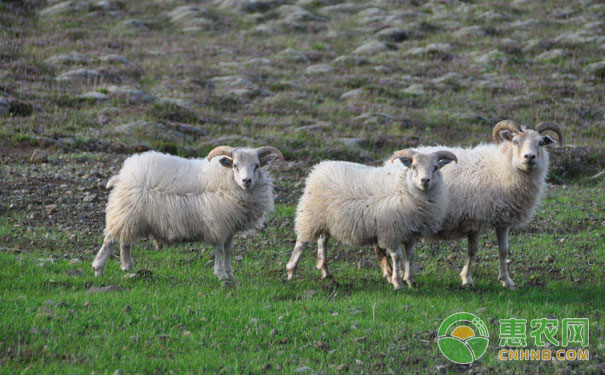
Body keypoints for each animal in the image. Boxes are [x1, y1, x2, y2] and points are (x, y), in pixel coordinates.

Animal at [91, 145, 284, 280]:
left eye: (257, 165)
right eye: (235, 166)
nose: (246, 180)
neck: (225, 180)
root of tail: (123, 175)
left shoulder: (230, 226)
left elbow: (229, 250)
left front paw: (230, 274)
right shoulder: (218, 223)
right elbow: (219, 249)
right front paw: (221, 274)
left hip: (132, 217)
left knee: (124, 241)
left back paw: (128, 267)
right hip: (125, 213)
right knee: (110, 240)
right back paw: (98, 269)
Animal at [286, 148, 456, 290]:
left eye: (435, 167)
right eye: (413, 166)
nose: (425, 180)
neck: (404, 188)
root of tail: (319, 167)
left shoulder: (410, 233)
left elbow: (410, 256)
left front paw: (411, 281)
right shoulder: (391, 232)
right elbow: (397, 257)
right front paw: (397, 282)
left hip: (326, 219)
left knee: (322, 241)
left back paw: (325, 271)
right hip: (310, 215)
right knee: (301, 243)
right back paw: (291, 271)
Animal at [372, 119, 560, 290]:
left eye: (541, 142)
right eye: (515, 142)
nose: (529, 157)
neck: (501, 169)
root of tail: (388, 162)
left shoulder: (503, 220)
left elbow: (504, 250)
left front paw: (507, 281)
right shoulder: (475, 219)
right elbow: (473, 250)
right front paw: (467, 279)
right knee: (380, 245)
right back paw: (389, 273)